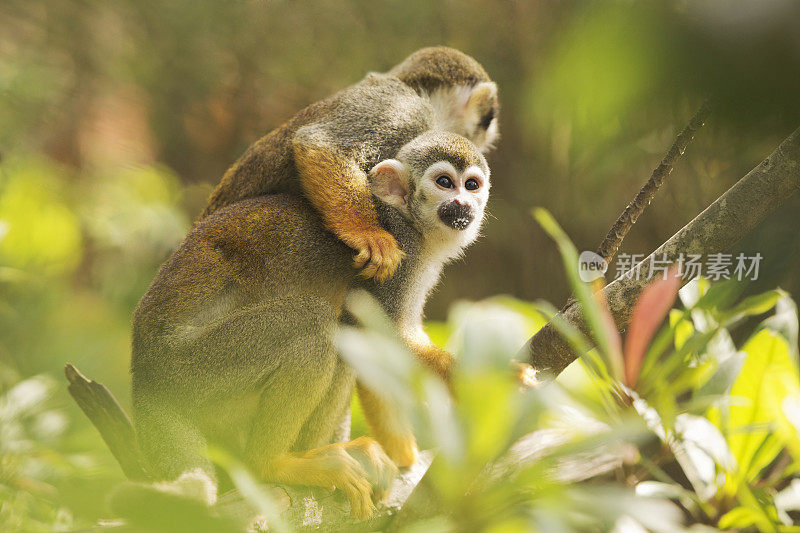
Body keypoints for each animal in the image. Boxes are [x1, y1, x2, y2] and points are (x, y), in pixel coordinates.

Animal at [133, 131, 488, 516]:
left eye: (471, 185)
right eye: (444, 182)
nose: (463, 204)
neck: (410, 221)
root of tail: (142, 377)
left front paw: (403, 454)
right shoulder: (400, 259)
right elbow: (378, 337)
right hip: (187, 368)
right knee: (315, 325)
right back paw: (273, 464)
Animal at [200, 45, 500, 282]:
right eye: (486, 119)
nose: (490, 137)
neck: (415, 91)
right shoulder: (403, 111)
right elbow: (320, 143)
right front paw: (368, 235)